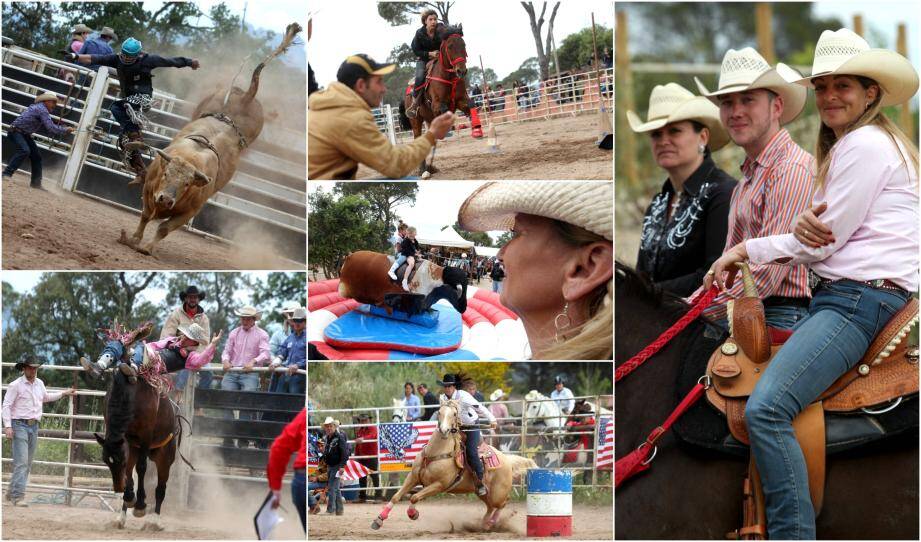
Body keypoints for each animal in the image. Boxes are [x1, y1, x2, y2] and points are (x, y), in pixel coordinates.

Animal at [92, 340, 188, 532]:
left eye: (119, 462)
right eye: (106, 462)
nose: (118, 489)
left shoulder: (145, 435)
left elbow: (141, 468)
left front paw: (140, 505)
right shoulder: (129, 443)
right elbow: (130, 472)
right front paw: (130, 498)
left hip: (165, 458)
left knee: (160, 489)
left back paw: (155, 521)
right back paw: (122, 516)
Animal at [117, 22, 300, 258]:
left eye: (187, 183)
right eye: (166, 174)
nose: (166, 199)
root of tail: (245, 97)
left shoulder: (191, 210)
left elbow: (164, 228)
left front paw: (147, 247)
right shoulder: (150, 189)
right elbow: (146, 215)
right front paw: (134, 239)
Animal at [370, 402, 536, 532]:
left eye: (455, 413)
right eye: (439, 412)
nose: (444, 430)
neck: (436, 453)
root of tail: (507, 459)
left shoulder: (439, 485)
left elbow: (415, 497)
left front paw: (413, 514)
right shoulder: (413, 477)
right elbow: (396, 496)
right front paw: (378, 520)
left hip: (497, 493)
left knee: (503, 503)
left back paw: (492, 523)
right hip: (482, 492)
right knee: (490, 507)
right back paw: (484, 524)